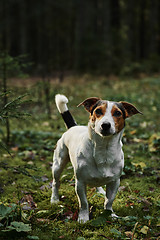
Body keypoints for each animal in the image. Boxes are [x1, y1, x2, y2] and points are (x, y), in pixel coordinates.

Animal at [50, 94, 142, 223]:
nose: (105, 125)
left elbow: (109, 201)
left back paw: (100, 191)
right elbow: (83, 203)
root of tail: (73, 127)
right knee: (55, 182)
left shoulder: (115, 182)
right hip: (58, 163)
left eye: (117, 113)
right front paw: (83, 218)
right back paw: (54, 199)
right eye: (98, 111)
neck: (104, 149)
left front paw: (110, 214)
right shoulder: (80, 182)